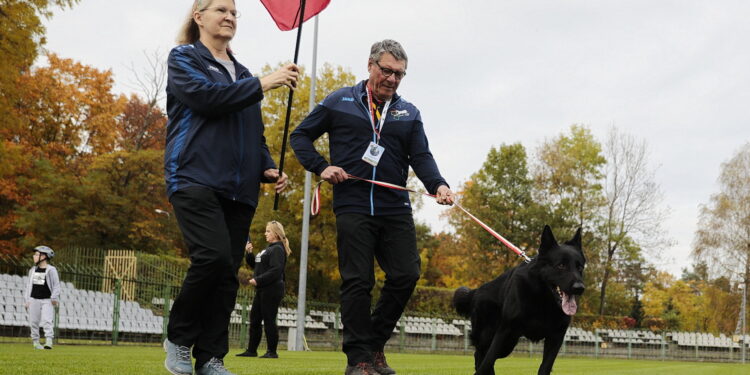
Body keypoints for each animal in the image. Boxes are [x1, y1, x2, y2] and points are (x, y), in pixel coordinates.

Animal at [452, 226, 588, 375]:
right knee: (481, 355)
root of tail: (476, 291)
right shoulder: (504, 332)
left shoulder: (555, 338)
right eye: (561, 265)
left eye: (580, 267)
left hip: (508, 344)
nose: (579, 288)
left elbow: (545, 367)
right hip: (491, 337)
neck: (542, 300)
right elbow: (487, 361)